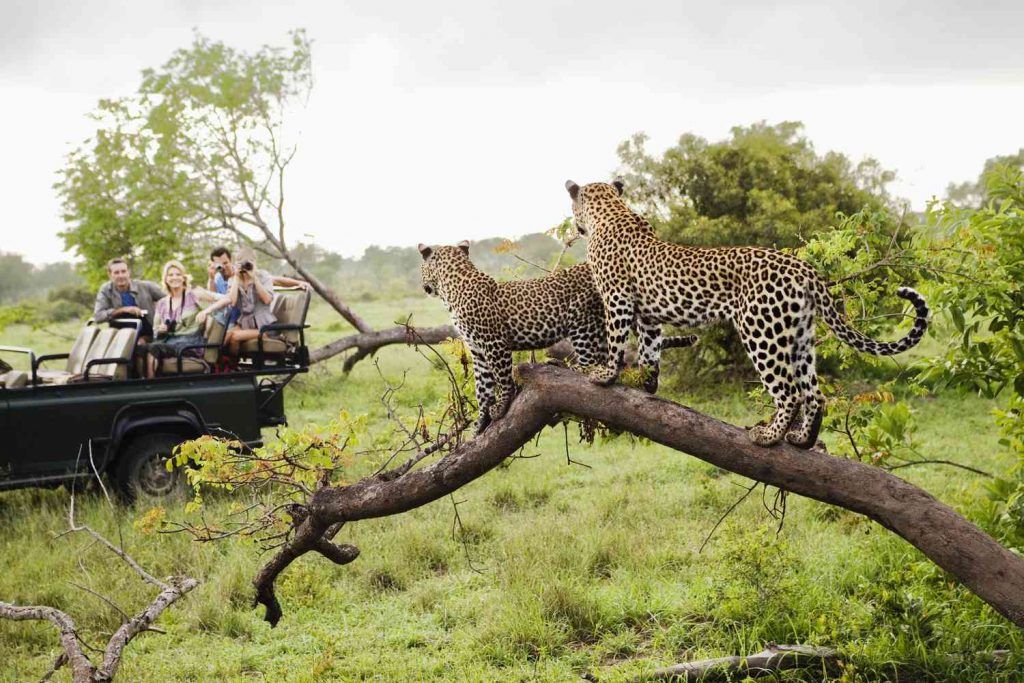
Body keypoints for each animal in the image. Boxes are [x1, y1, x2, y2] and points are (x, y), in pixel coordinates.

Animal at [417, 240, 696, 432]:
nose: (423, 286)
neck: (453, 288)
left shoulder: (494, 343)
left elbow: (502, 379)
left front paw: (502, 405)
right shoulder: (476, 349)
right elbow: (482, 387)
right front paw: (480, 422)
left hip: (582, 321)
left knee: (590, 363)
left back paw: (564, 365)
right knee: (610, 360)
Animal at [565, 179, 933, 450]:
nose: (574, 226)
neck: (611, 211)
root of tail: (804, 269)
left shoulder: (617, 298)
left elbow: (616, 340)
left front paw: (605, 375)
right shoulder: (649, 315)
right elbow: (650, 350)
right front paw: (647, 382)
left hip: (762, 331)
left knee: (789, 392)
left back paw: (769, 437)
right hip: (799, 336)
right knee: (815, 394)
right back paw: (802, 439)